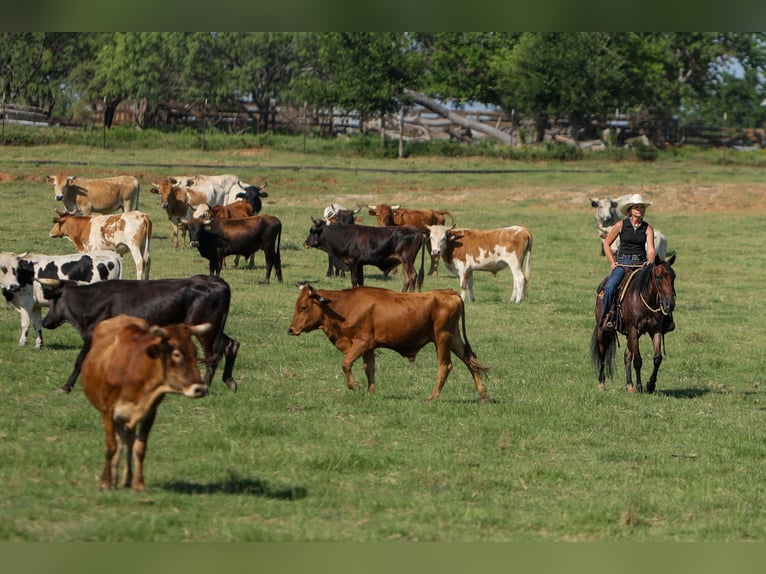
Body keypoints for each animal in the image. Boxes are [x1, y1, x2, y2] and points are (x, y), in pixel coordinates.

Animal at [39, 276, 242, 394]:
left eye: (52, 301)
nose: (45, 322)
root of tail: (218, 282)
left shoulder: (92, 337)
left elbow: (80, 361)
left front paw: (65, 387)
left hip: (205, 329)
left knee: (212, 355)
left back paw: (205, 386)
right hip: (215, 328)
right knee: (230, 345)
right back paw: (229, 381)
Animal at [80, 312, 210, 492]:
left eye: (195, 352)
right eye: (176, 353)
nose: (200, 389)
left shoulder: (150, 412)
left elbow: (139, 447)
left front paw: (138, 483)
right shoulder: (108, 410)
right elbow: (111, 446)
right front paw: (105, 482)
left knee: (127, 441)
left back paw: (125, 479)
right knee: (120, 442)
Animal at [288, 286, 492, 402]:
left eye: (303, 307)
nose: (290, 330)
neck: (346, 306)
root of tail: (449, 293)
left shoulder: (361, 342)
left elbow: (345, 364)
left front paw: (355, 386)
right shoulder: (369, 347)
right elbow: (369, 369)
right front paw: (371, 393)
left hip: (442, 338)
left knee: (445, 366)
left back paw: (433, 396)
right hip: (453, 338)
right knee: (470, 361)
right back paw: (482, 395)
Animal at [592, 255, 680, 394]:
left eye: (673, 276)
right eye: (658, 276)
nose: (669, 304)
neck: (645, 299)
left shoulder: (655, 330)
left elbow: (657, 358)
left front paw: (650, 385)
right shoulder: (634, 330)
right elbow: (638, 360)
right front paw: (639, 386)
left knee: (627, 355)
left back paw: (629, 385)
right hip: (603, 331)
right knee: (602, 353)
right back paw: (602, 383)